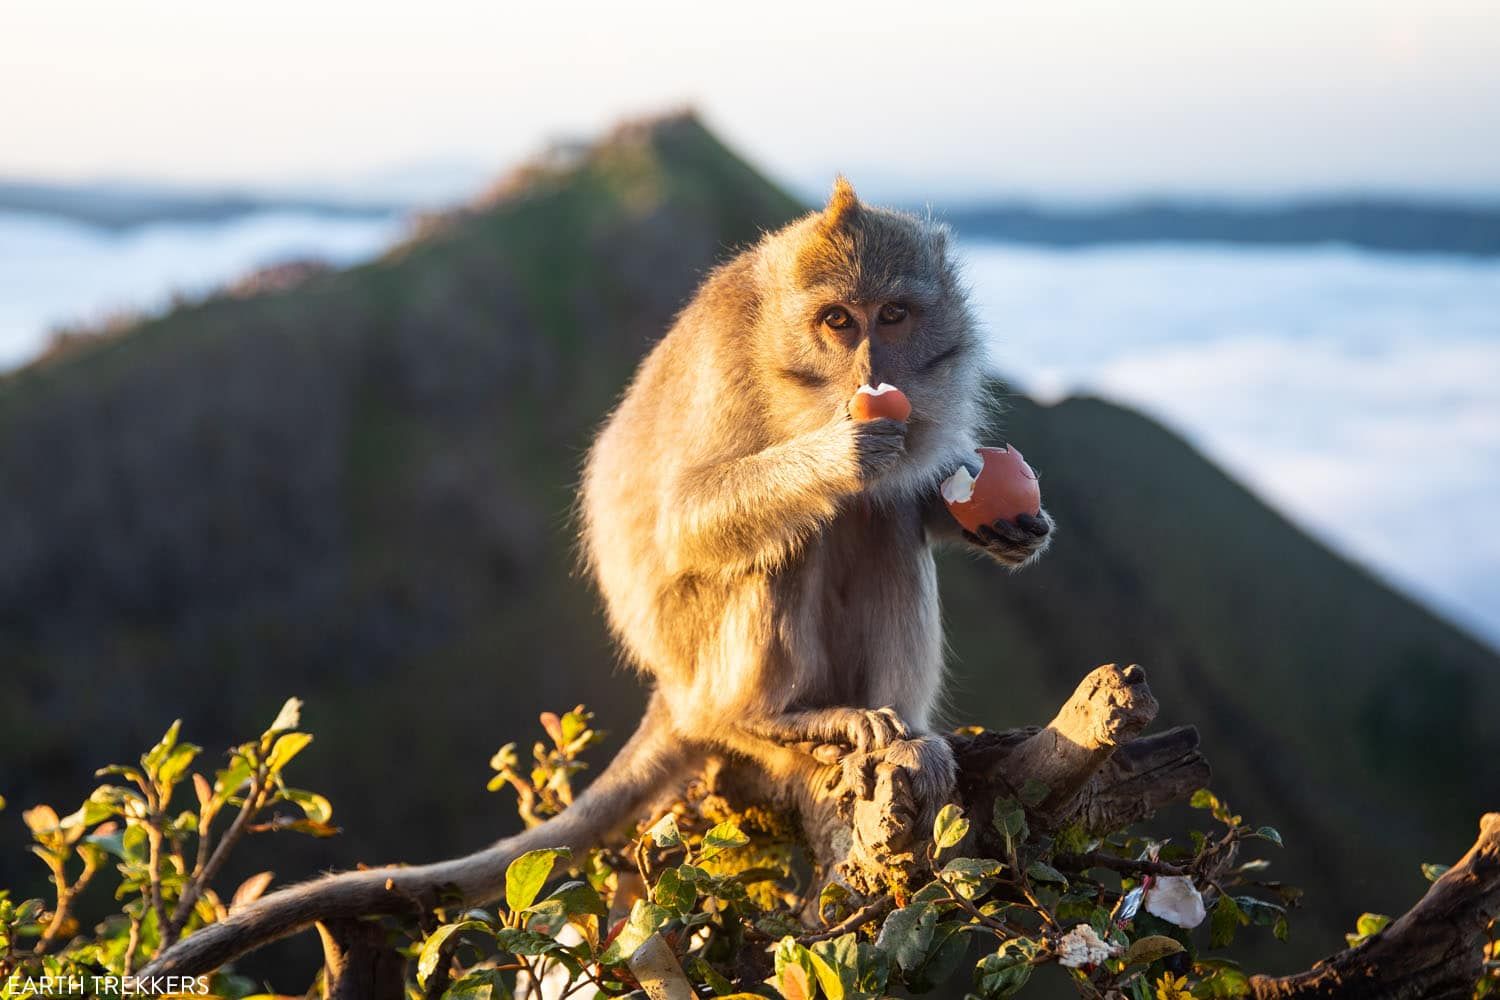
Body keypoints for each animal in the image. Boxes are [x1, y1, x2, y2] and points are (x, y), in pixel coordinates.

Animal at [143, 176, 1056, 971]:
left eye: (893, 315)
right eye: (838, 320)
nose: (874, 369)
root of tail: (675, 688)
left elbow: (911, 497)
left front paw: (997, 522)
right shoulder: (734, 368)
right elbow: (687, 515)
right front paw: (843, 453)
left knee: (878, 523)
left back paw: (901, 729)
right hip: (699, 651)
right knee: (801, 534)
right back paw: (774, 720)